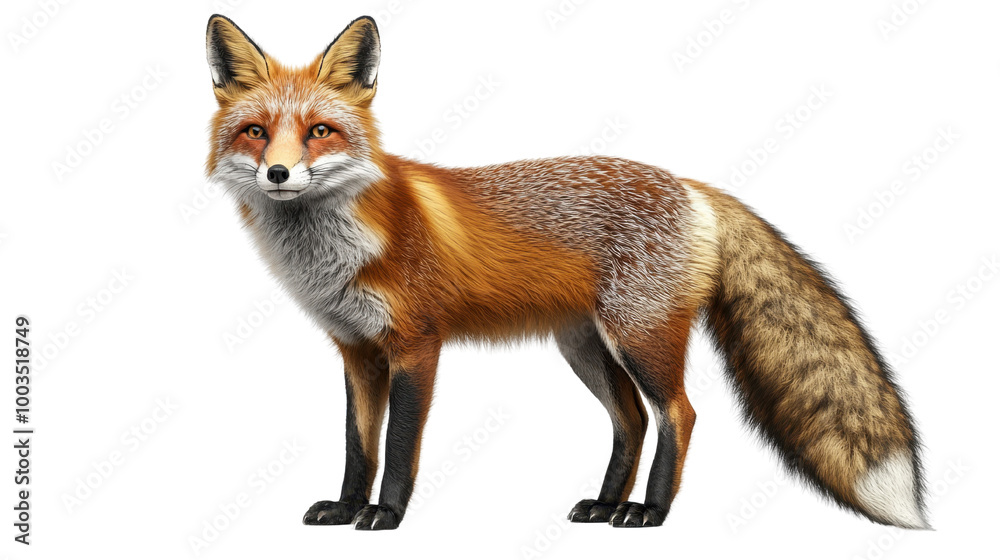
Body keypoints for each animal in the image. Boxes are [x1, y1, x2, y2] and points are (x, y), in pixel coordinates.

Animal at [204, 14, 928, 531]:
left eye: (320, 131)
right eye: (256, 133)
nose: (279, 174)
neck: (337, 250)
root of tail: (691, 186)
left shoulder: (416, 345)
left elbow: (401, 446)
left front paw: (385, 514)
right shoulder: (356, 350)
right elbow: (359, 447)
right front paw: (347, 506)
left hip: (639, 337)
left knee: (679, 413)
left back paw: (650, 512)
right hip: (584, 347)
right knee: (632, 421)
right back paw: (606, 505)